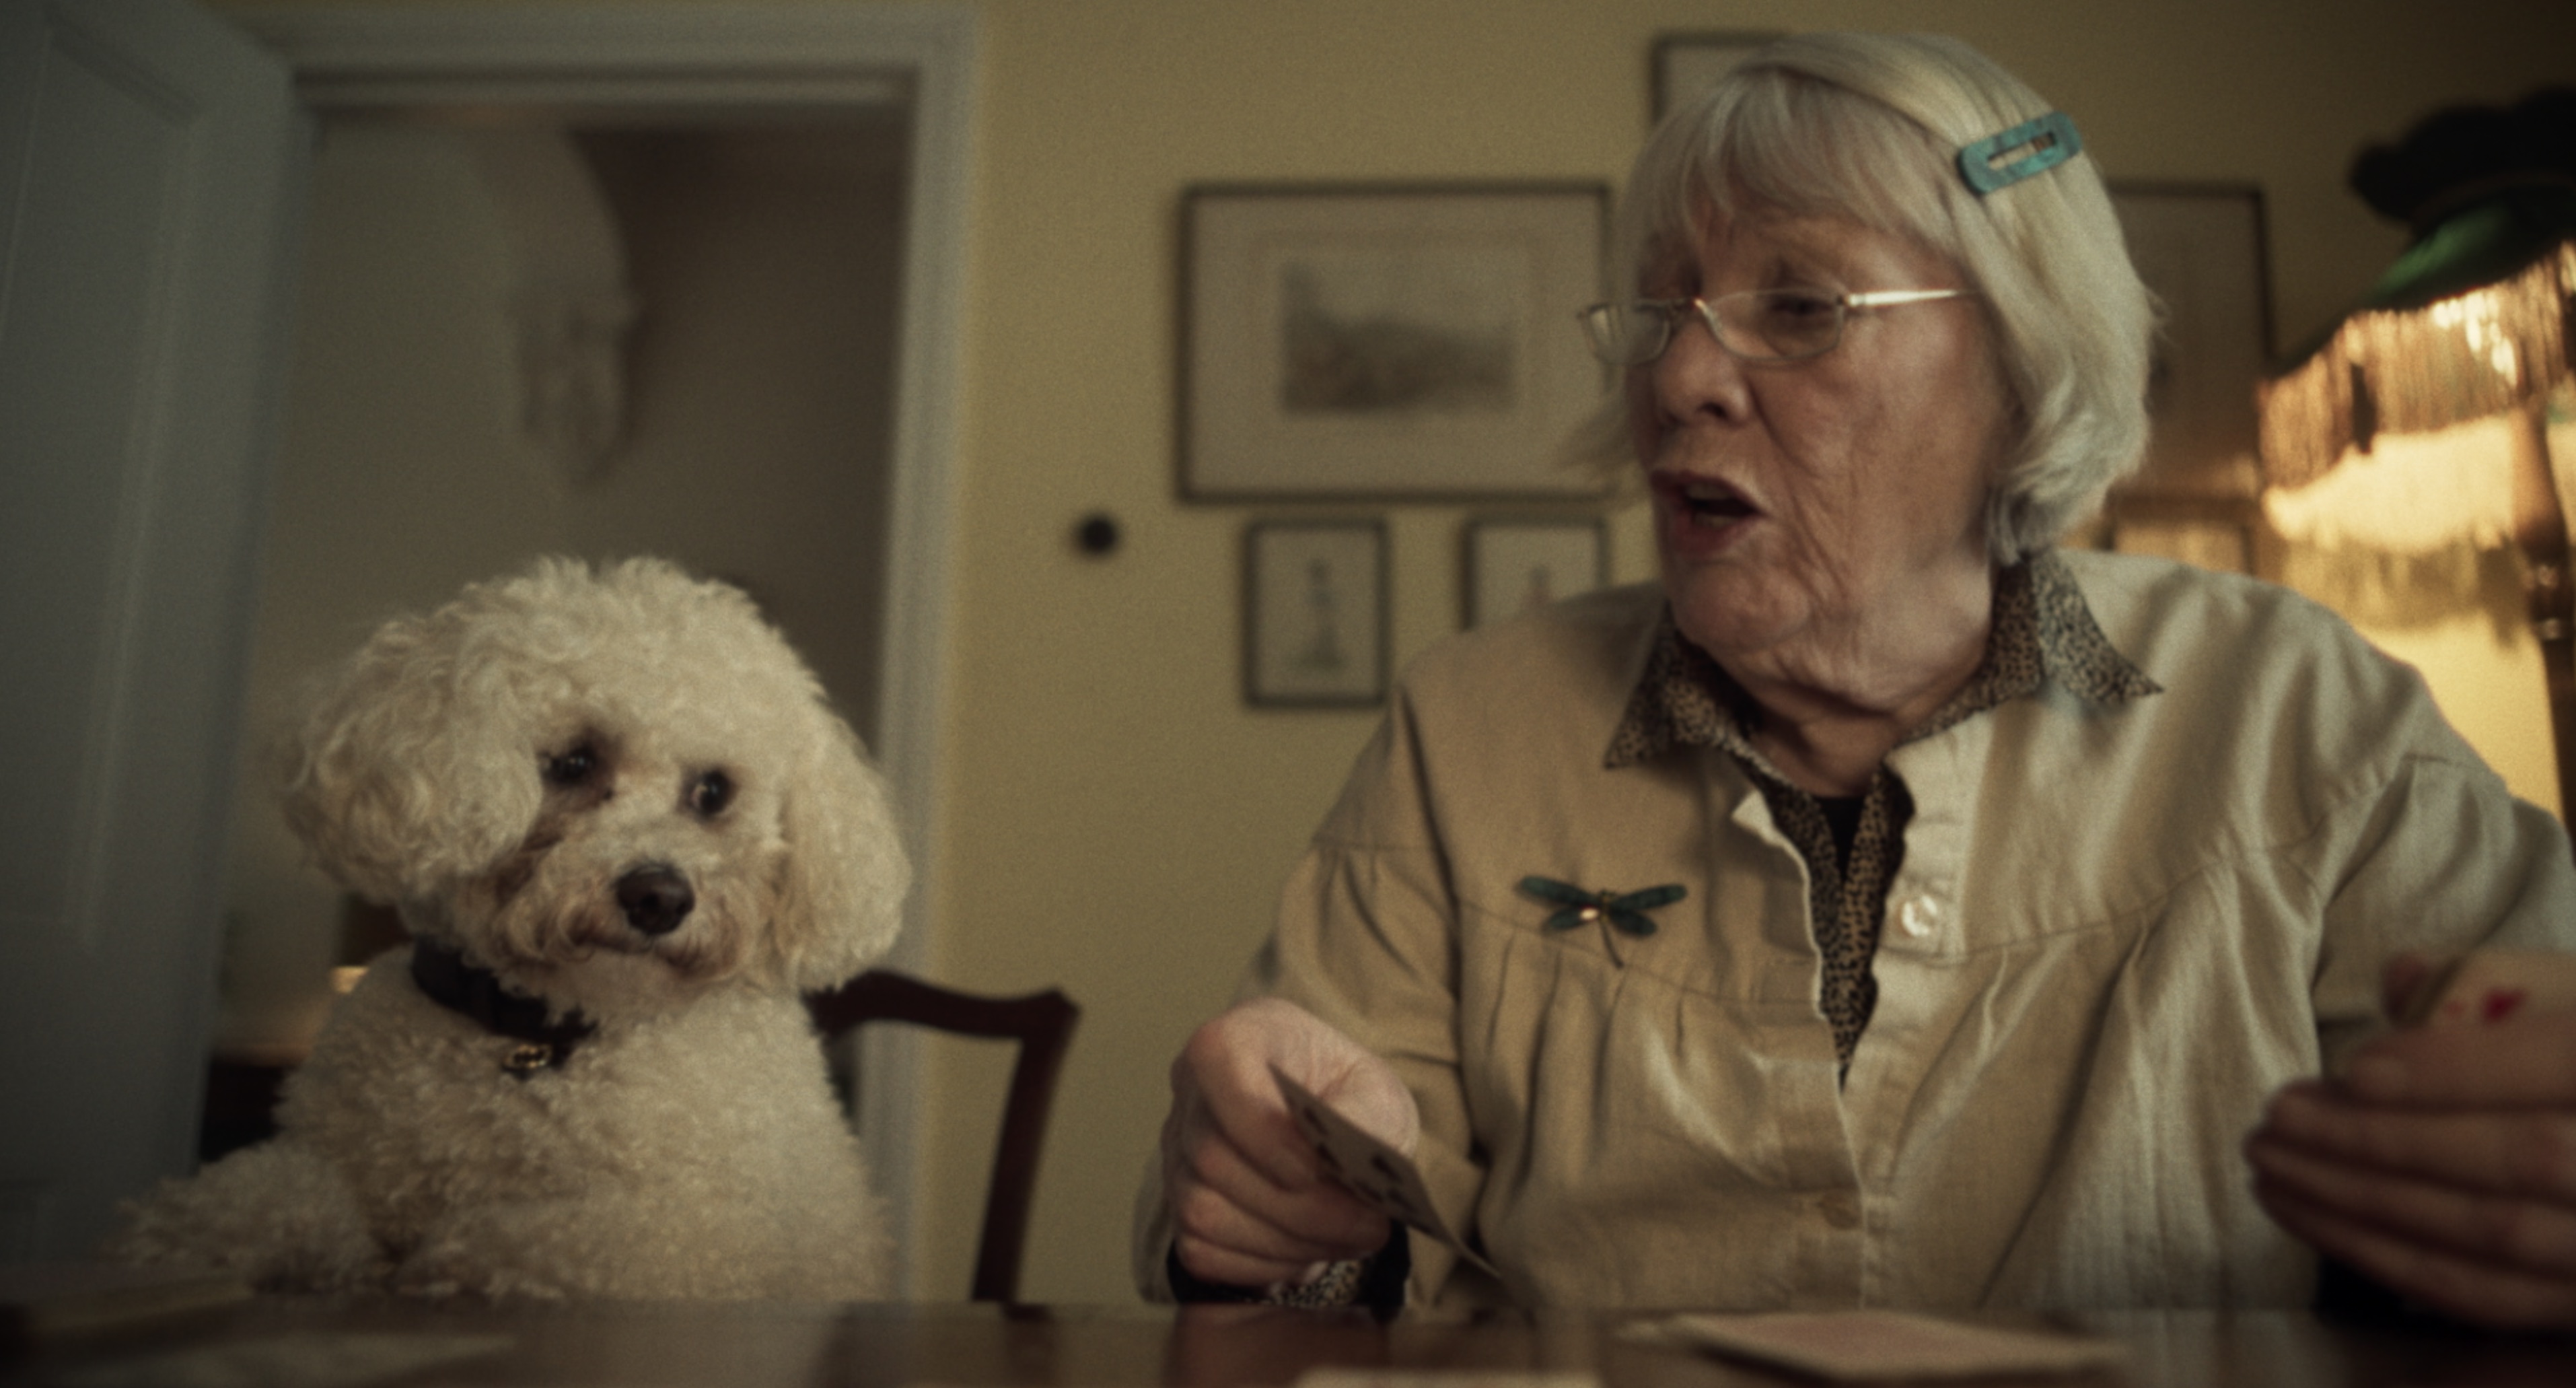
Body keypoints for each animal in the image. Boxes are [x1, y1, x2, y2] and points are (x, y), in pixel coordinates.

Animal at [113, 553, 917, 1303]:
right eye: (573, 761)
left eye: (713, 791)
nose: (659, 897)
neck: (537, 1040)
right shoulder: (330, 1159)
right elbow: (258, 1200)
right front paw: (173, 1248)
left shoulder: (703, 1236)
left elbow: (539, 1247)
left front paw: (441, 1264)